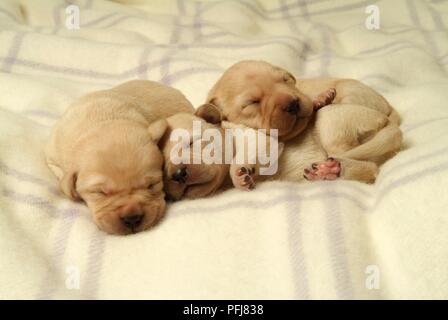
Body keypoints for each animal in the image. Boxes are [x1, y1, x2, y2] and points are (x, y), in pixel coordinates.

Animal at [205, 60, 400, 185]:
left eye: (285, 80)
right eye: (252, 102)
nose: (293, 104)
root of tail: (388, 118)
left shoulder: (262, 139)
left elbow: (245, 156)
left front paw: (239, 174)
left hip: (336, 118)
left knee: (370, 167)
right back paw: (329, 171)